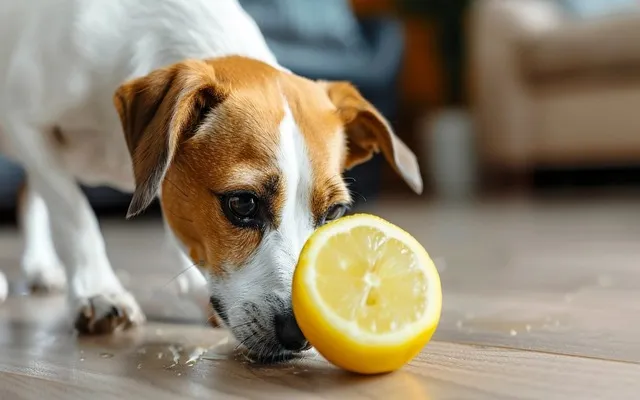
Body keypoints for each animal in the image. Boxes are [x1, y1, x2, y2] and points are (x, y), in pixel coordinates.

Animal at [0, 0, 420, 360]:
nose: (301, 335)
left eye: (333, 213)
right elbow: (74, 214)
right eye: (243, 203)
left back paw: (40, 267)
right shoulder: (24, 125)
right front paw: (98, 291)